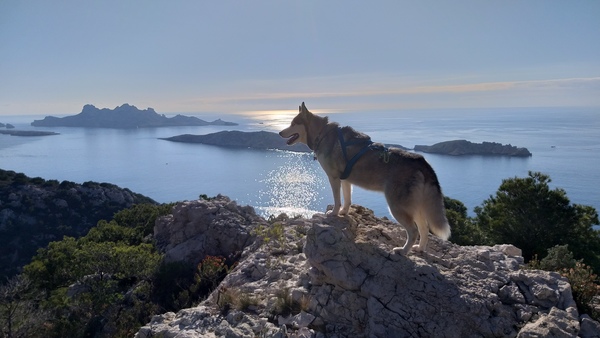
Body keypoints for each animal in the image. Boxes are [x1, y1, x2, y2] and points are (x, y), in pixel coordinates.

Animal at [282, 101, 450, 255]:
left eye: (293, 123)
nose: (280, 133)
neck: (322, 134)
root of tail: (421, 161)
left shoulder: (334, 177)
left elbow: (337, 199)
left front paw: (334, 213)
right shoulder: (345, 180)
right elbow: (347, 200)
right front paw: (343, 212)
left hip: (397, 206)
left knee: (414, 231)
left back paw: (403, 251)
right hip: (417, 207)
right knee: (424, 228)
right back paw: (419, 248)